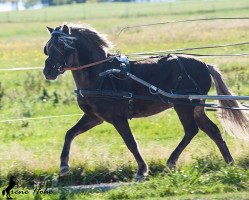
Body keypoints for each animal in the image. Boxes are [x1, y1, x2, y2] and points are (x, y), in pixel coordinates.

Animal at [43, 24, 249, 179]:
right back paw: (229, 163)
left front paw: (142, 170)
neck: (100, 73)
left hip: (183, 106)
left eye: (61, 46)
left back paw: (171, 161)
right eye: (47, 47)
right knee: (212, 131)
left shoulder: (118, 118)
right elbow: (70, 134)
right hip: (195, 107)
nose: (48, 71)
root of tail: (205, 65)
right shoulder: (94, 117)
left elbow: (131, 142)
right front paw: (63, 166)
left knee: (191, 130)